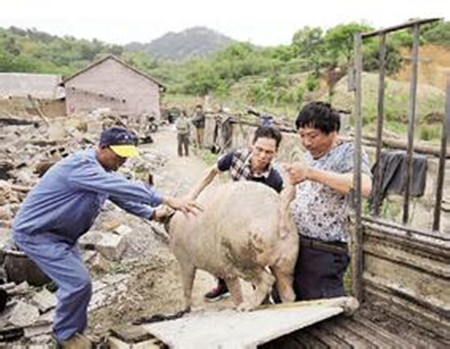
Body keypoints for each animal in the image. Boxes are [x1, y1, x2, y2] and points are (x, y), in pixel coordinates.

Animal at [165, 179, 298, 310]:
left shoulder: (185, 261)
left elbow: (187, 287)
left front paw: (186, 309)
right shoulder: (225, 270)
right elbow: (235, 290)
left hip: (239, 258)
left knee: (267, 279)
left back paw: (247, 306)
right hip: (286, 260)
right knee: (287, 291)